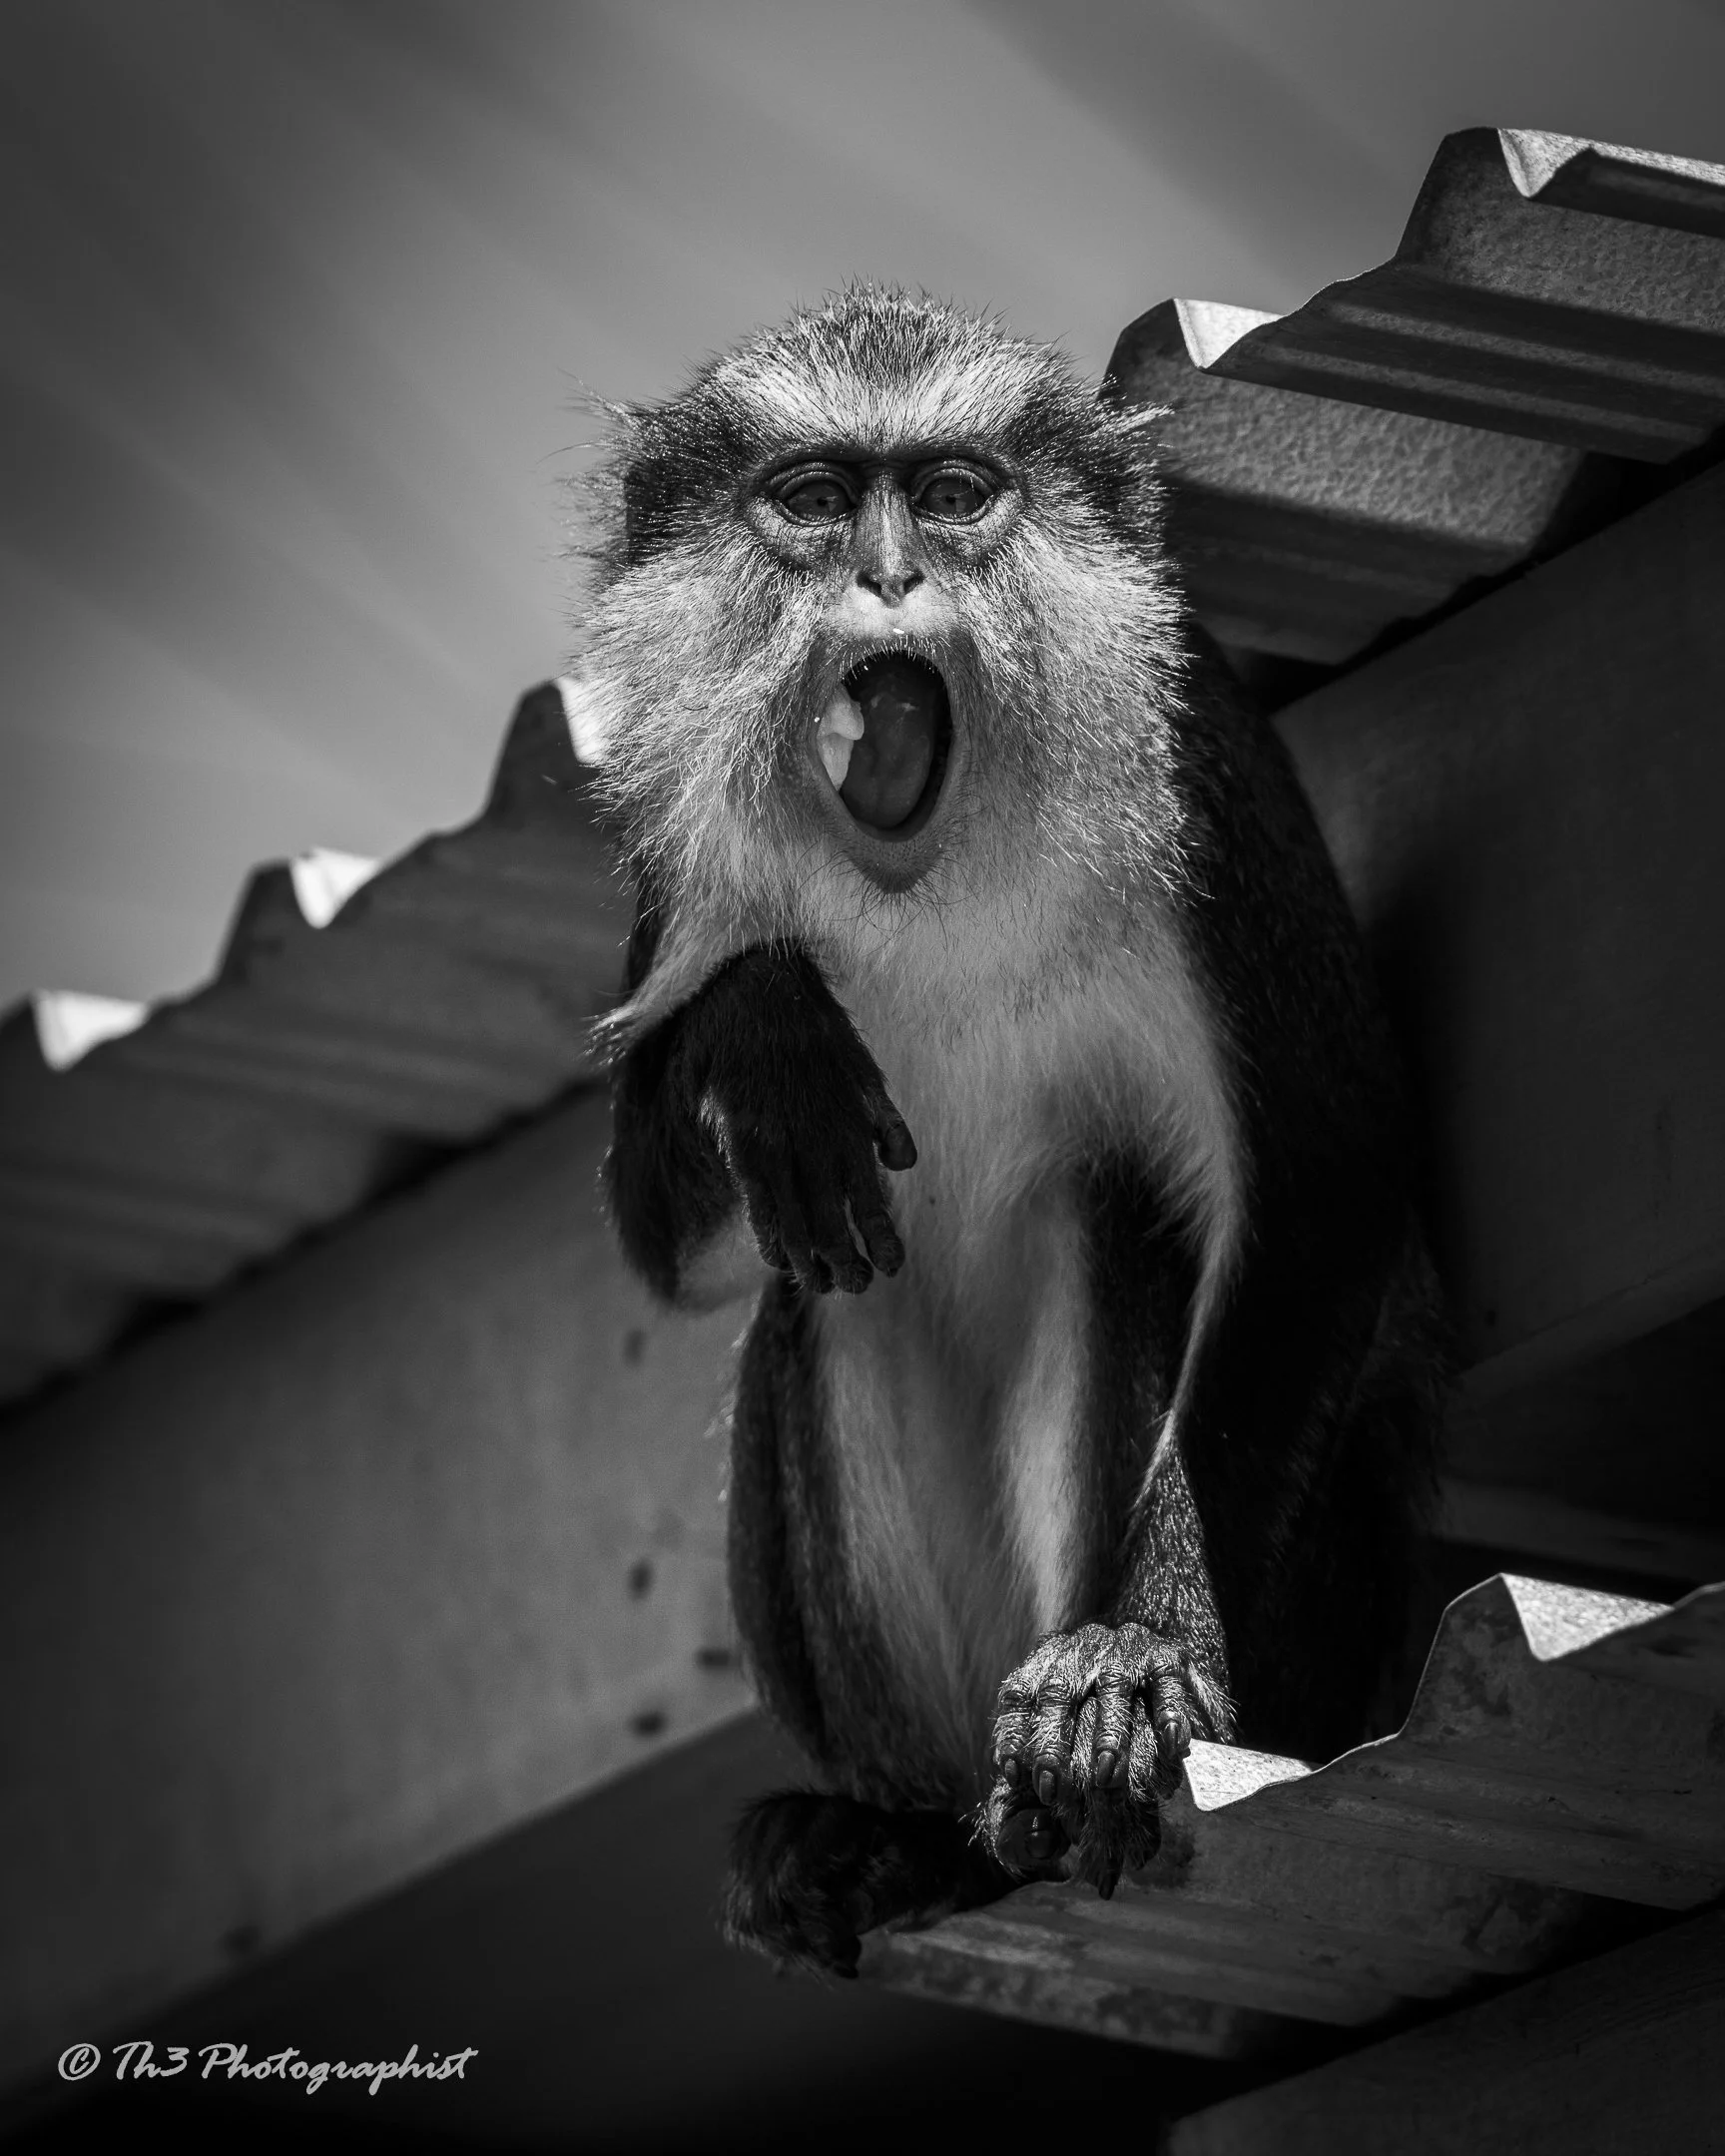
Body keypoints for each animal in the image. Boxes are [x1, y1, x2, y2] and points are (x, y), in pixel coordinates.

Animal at [569, 287, 1444, 1979]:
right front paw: (762, 1037)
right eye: (816, 497)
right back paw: (891, 1841)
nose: (890, 578)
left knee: (1100, 1210)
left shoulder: (1200, 768)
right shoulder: (682, 867)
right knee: (815, 1286)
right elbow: (660, 1243)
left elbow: (1329, 1169)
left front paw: (1134, 1653)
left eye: (956, 493)